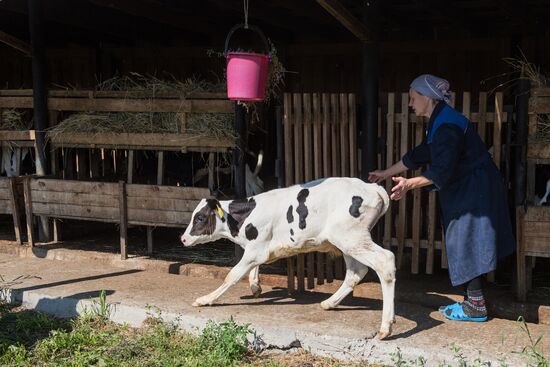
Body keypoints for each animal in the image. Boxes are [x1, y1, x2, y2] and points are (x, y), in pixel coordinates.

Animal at [181, 177, 396, 340]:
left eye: (200, 218)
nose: (182, 238)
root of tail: (372, 187)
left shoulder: (255, 249)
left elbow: (232, 275)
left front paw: (206, 299)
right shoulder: (257, 248)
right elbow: (253, 269)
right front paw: (255, 287)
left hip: (350, 238)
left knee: (385, 261)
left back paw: (385, 327)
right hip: (348, 242)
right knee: (355, 272)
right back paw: (329, 303)